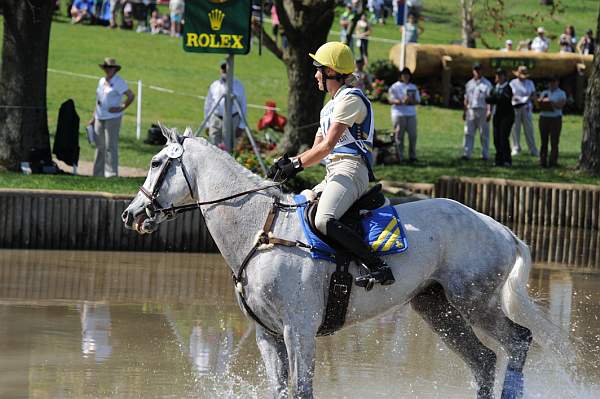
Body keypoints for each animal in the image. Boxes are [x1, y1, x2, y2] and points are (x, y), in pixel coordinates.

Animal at [122, 129, 568, 399]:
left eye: (157, 163)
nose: (131, 215)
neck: (259, 231)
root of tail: (501, 229)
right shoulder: (267, 335)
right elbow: (281, 390)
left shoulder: (298, 330)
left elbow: (301, 390)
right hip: (436, 307)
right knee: (484, 360)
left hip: (474, 301)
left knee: (518, 341)